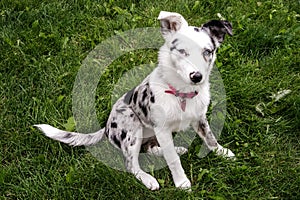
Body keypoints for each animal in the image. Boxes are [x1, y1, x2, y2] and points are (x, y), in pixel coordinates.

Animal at [35, 11, 236, 191]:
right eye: (181, 51)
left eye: (208, 52)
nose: (197, 77)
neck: (181, 93)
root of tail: (106, 127)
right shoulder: (162, 129)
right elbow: (173, 160)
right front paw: (181, 182)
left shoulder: (199, 118)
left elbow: (210, 138)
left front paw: (222, 152)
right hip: (133, 126)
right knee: (132, 164)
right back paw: (148, 179)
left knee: (152, 149)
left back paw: (177, 149)